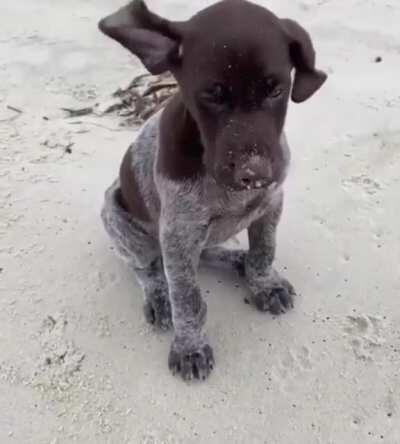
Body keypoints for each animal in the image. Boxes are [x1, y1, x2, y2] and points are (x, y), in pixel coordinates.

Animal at [98, 0, 326, 382]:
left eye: (276, 90)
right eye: (211, 95)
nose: (255, 173)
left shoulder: (270, 204)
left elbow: (264, 251)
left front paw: (262, 282)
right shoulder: (179, 232)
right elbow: (186, 297)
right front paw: (189, 345)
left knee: (206, 253)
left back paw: (237, 259)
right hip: (117, 216)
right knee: (147, 269)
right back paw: (159, 297)